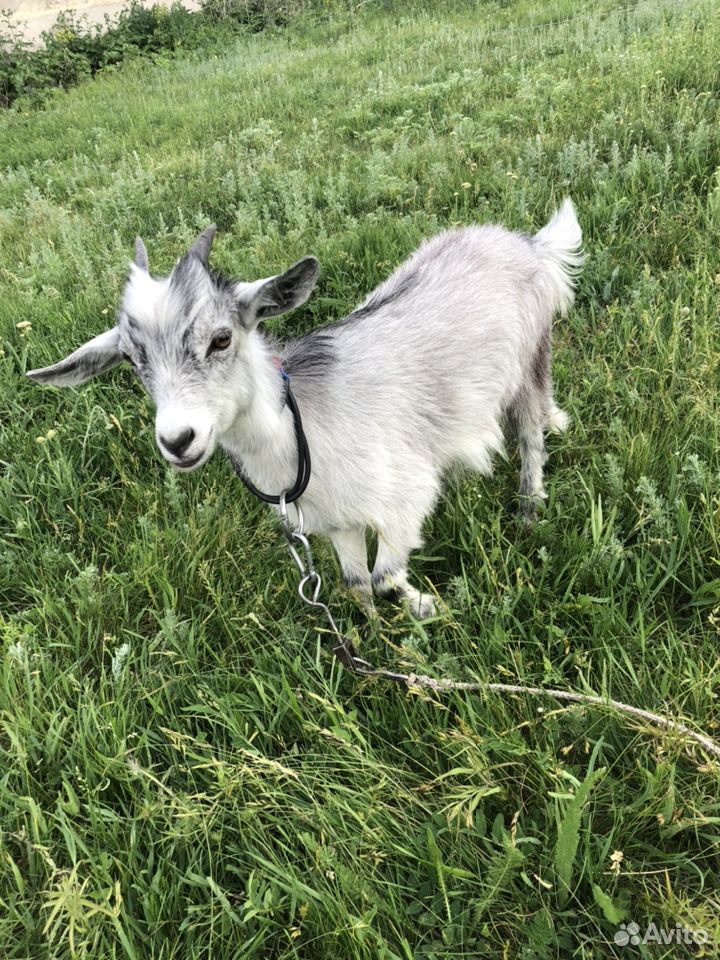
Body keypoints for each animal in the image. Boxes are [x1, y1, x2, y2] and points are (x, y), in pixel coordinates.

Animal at [28, 203, 584, 620]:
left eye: (221, 338)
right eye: (131, 359)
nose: (178, 439)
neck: (300, 429)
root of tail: (528, 244)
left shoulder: (406, 496)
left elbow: (385, 576)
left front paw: (426, 606)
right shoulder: (336, 521)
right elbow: (357, 583)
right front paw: (370, 642)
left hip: (531, 355)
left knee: (530, 435)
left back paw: (529, 509)